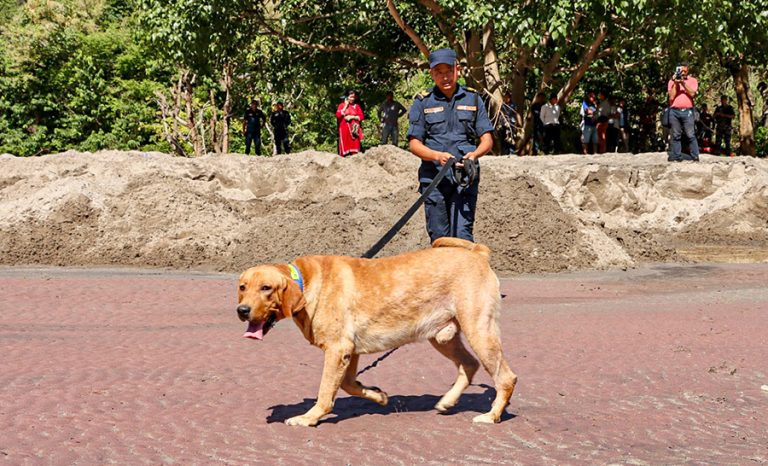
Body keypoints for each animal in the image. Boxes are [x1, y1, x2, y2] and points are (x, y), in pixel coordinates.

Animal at [237, 237, 520, 426]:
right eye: (242, 287)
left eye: (266, 288)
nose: (242, 310)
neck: (305, 282)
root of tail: (479, 253)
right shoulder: (350, 351)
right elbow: (349, 384)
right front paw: (378, 396)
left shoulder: (338, 349)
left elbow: (326, 390)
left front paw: (310, 417)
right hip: (441, 337)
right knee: (469, 365)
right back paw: (448, 401)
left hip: (478, 330)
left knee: (506, 377)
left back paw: (492, 415)